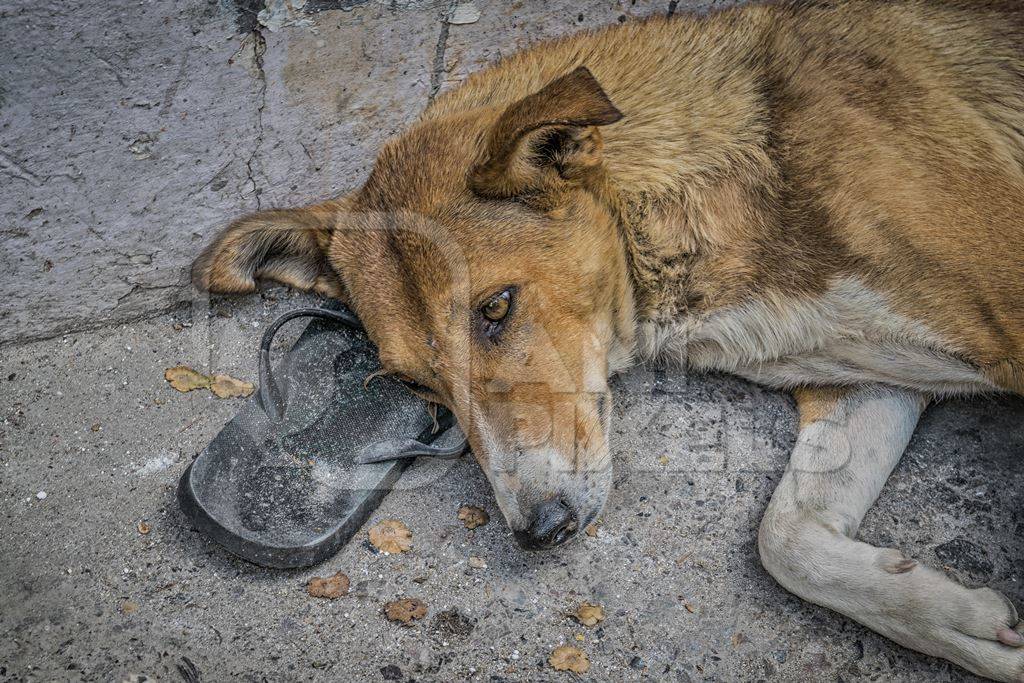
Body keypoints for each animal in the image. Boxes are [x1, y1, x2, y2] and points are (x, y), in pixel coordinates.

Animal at [192, 1, 1024, 679]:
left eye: (496, 306)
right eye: (416, 384)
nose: (538, 532)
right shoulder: (864, 379)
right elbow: (786, 537)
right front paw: (959, 621)